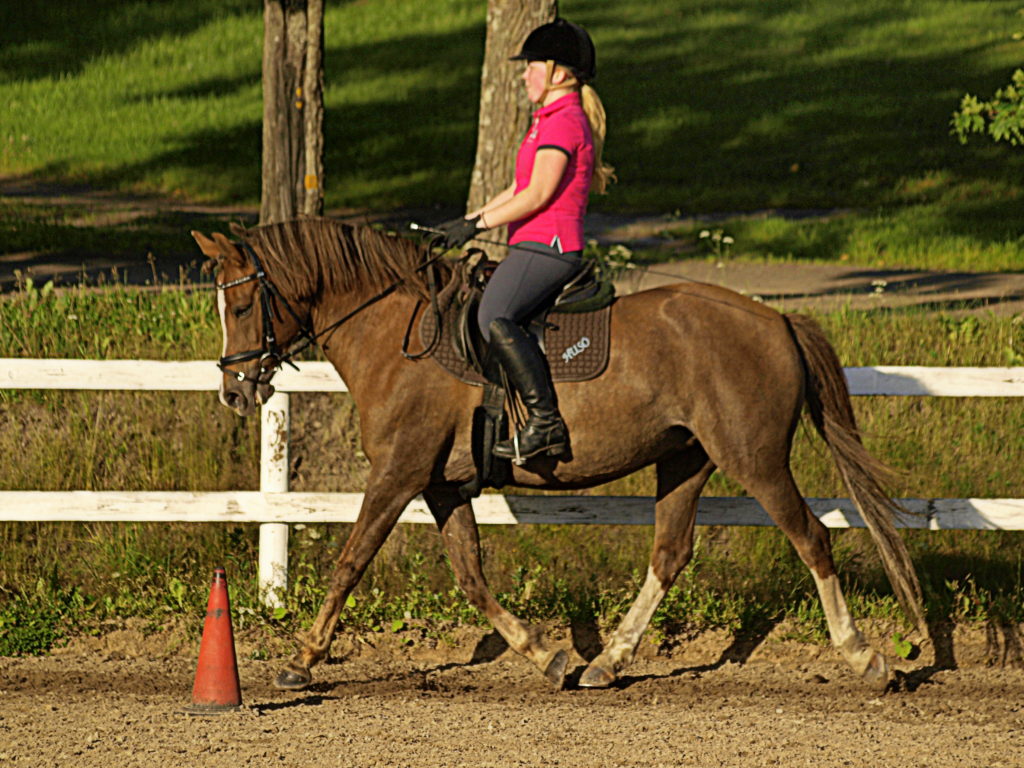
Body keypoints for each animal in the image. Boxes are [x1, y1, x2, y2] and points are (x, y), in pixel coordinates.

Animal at [192, 219, 929, 696]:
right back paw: (609, 661)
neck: (398, 333)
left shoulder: (398, 475)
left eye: (242, 302)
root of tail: (775, 319)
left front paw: (301, 659)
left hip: (755, 459)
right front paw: (545, 656)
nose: (234, 391)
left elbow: (350, 562)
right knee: (669, 553)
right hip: (686, 459)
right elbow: (471, 577)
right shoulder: (442, 486)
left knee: (809, 539)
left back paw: (863, 657)